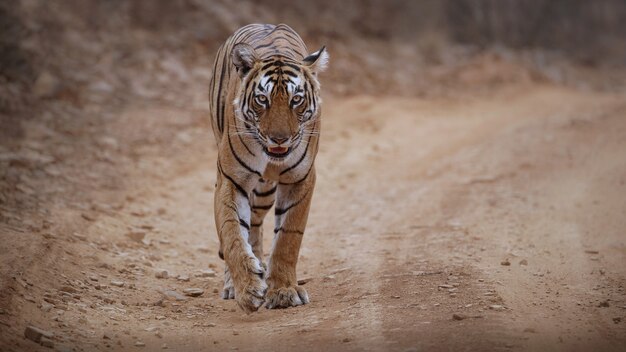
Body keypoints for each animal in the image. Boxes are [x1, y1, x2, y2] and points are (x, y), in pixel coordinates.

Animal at [207, 23, 330, 312]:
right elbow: (231, 232)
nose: (279, 139)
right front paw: (248, 289)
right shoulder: (231, 179)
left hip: (264, 192)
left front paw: (284, 291)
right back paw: (234, 284)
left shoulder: (301, 179)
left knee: (255, 222)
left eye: (296, 100)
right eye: (262, 99)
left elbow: (288, 237)